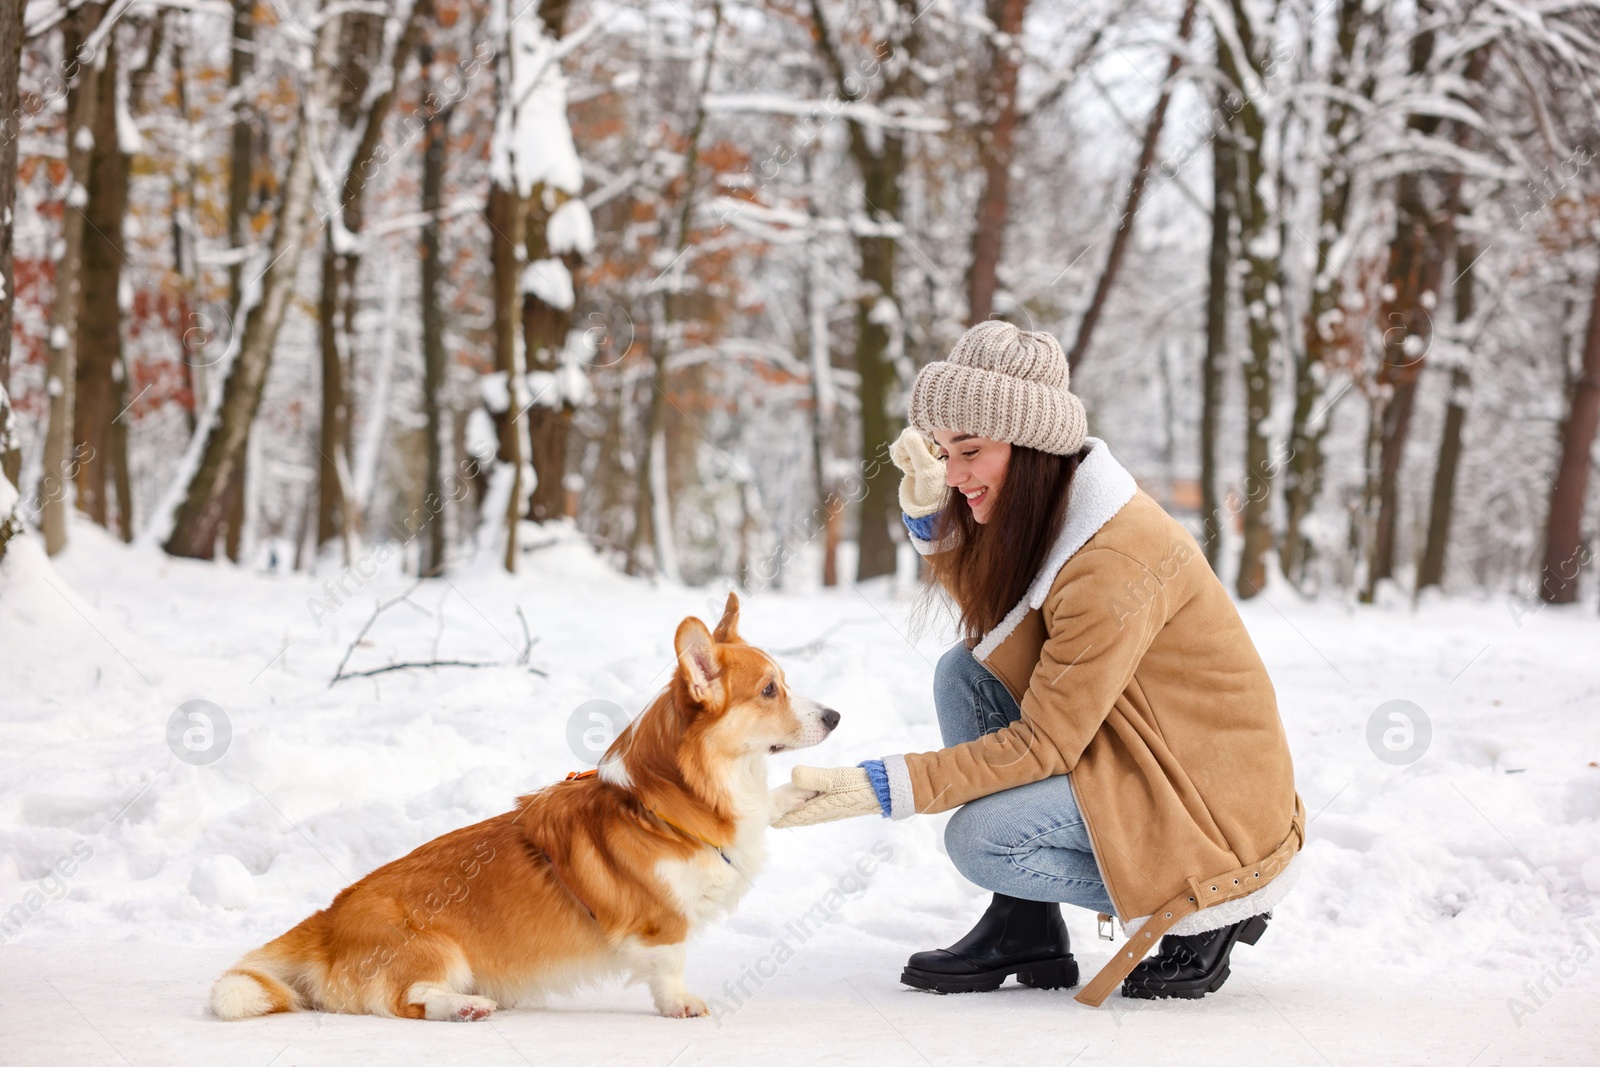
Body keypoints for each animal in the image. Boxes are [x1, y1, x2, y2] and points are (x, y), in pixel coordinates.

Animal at [212, 598, 838, 1023]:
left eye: (784, 682)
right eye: (769, 690)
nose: (835, 716)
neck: (666, 805)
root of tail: (327, 923)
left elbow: (769, 807)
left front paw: (808, 792)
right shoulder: (661, 922)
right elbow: (670, 966)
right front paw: (681, 1005)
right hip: (437, 949)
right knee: (409, 999)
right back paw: (464, 1007)